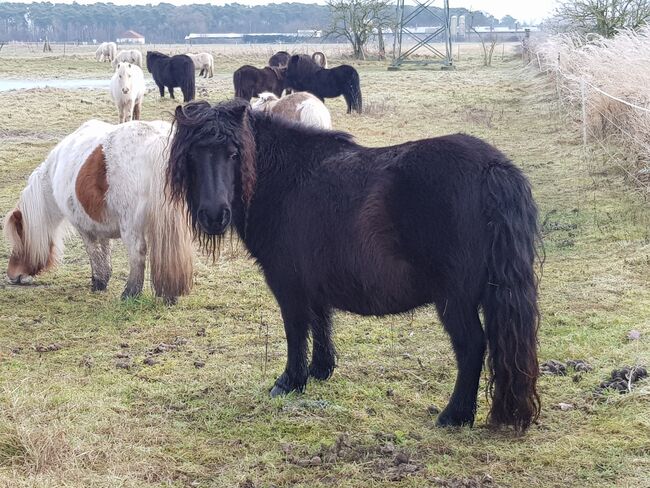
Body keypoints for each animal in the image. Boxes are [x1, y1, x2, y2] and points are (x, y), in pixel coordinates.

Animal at [3, 120, 194, 304]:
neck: (54, 171)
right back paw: (170, 296)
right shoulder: (100, 222)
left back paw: (130, 293)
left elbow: (93, 252)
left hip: (130, 226)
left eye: (20, 238)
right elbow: (105, 249)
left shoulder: (83, 226)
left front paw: (98, 282)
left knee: (137, 253)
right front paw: (105, 278)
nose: (12, 275)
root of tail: (159, 139)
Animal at [166, 99, 540, 430]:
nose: (214, 215)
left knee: (471, 346)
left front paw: (289, 381)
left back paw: (454, 416)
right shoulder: (313, 283)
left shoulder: (288, 285)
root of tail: (493, 168)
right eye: (192, 156)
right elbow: (321, 323)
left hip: (456, 300)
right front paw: (320, 370)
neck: (286, 179)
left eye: (233, 153)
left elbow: (295, 331)